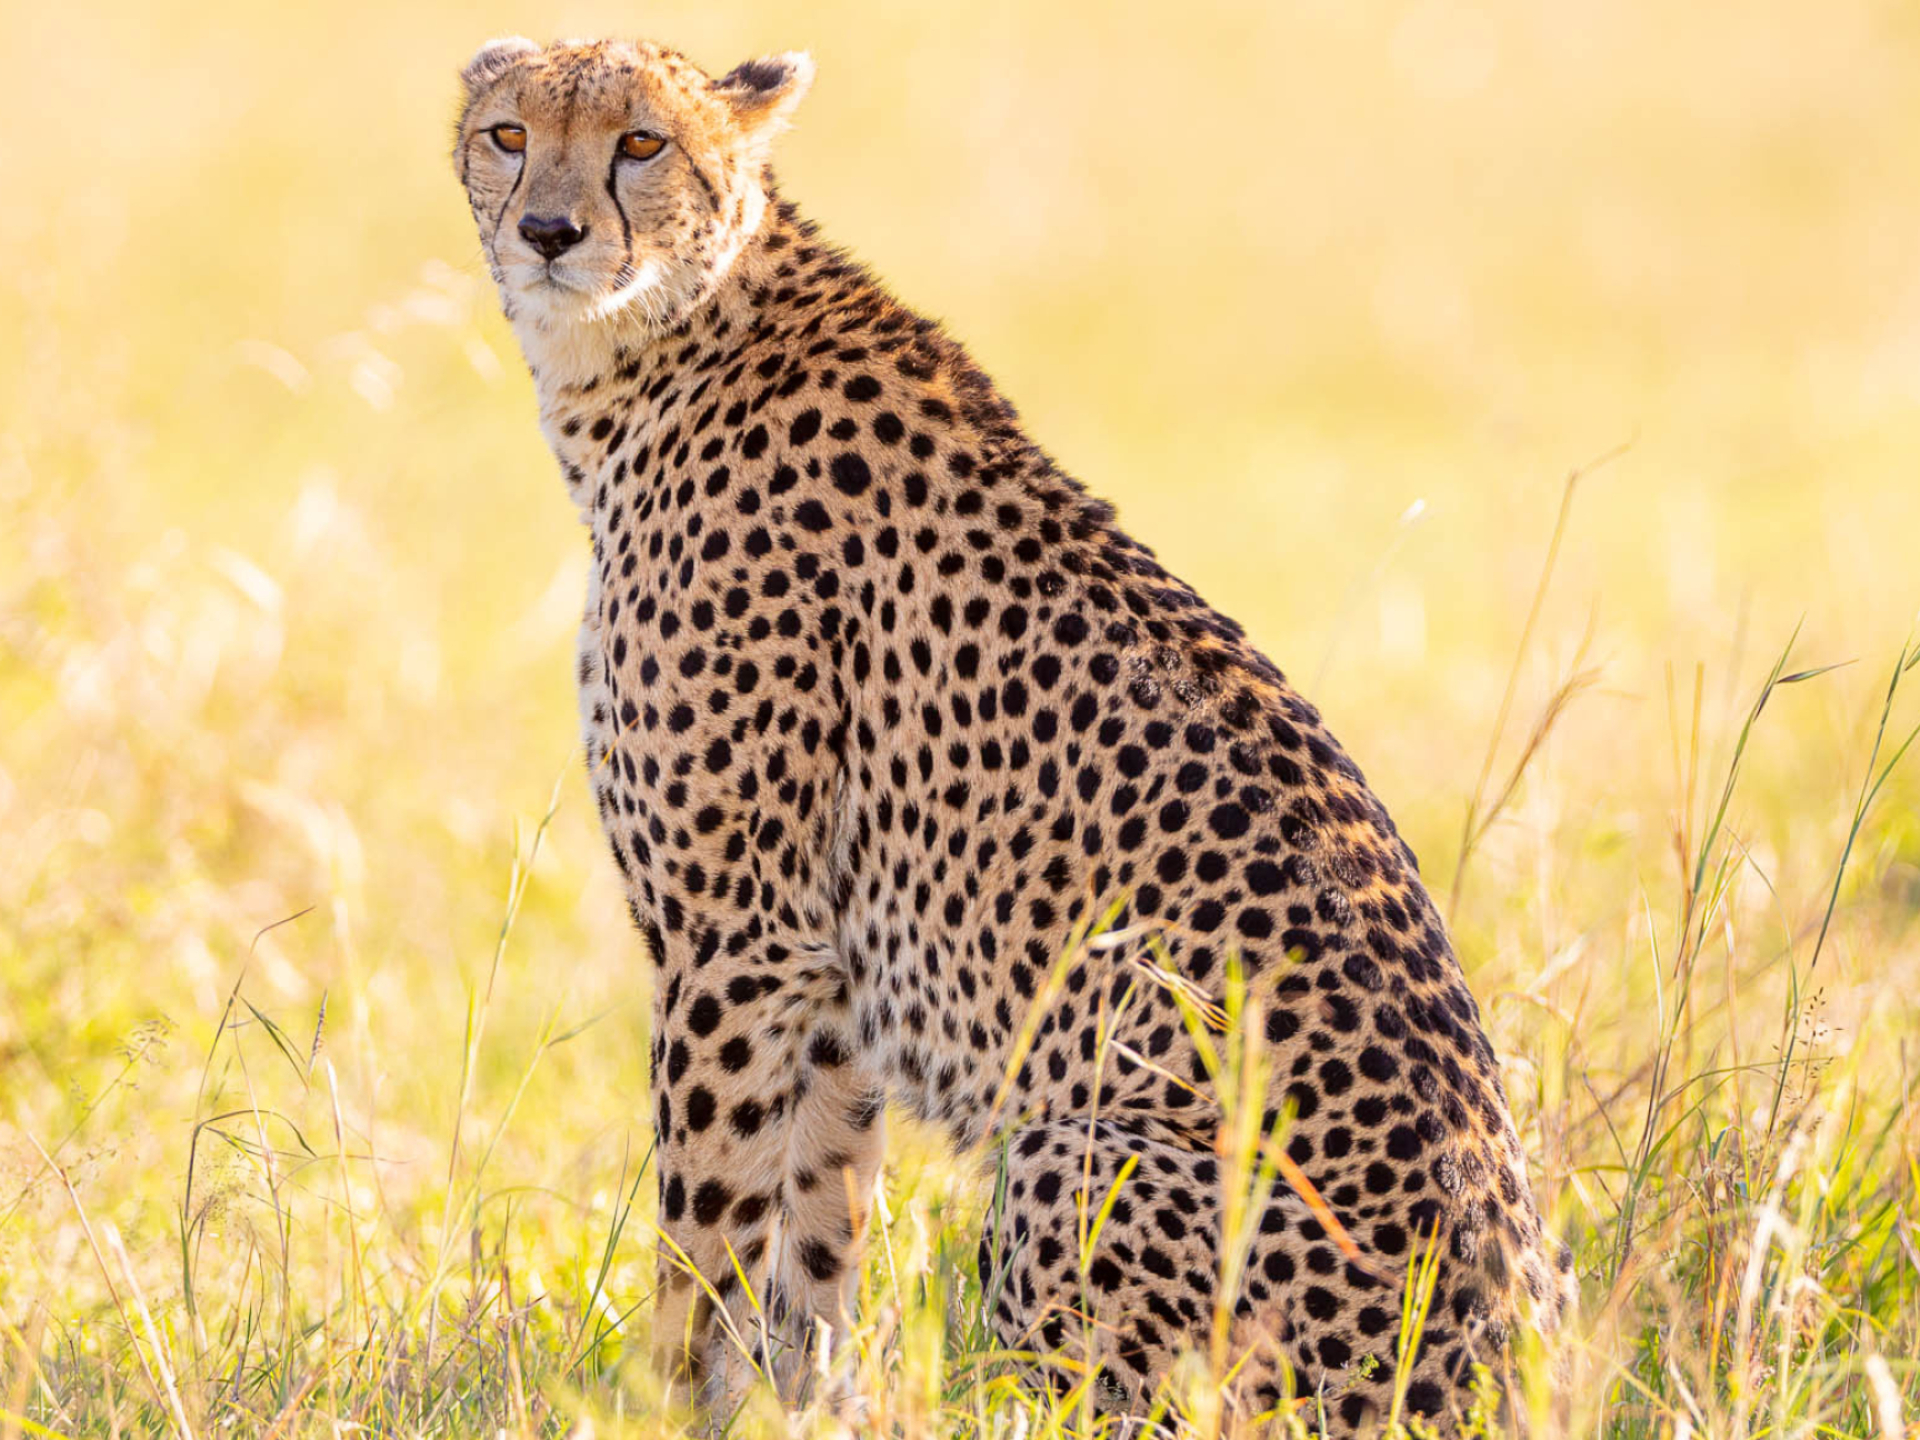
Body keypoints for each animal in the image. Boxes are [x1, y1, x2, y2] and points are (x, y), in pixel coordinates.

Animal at [453, 33, 1574, 1436]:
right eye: (507, 133)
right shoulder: (827, 972)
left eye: (641, 143)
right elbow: (812, 1239)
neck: (667, 341)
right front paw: (795, 1404)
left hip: (1081, 1148)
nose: (549, 230)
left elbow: (704, 1232)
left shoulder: (738, 938)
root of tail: (1495, 1362)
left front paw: (663, 1406)